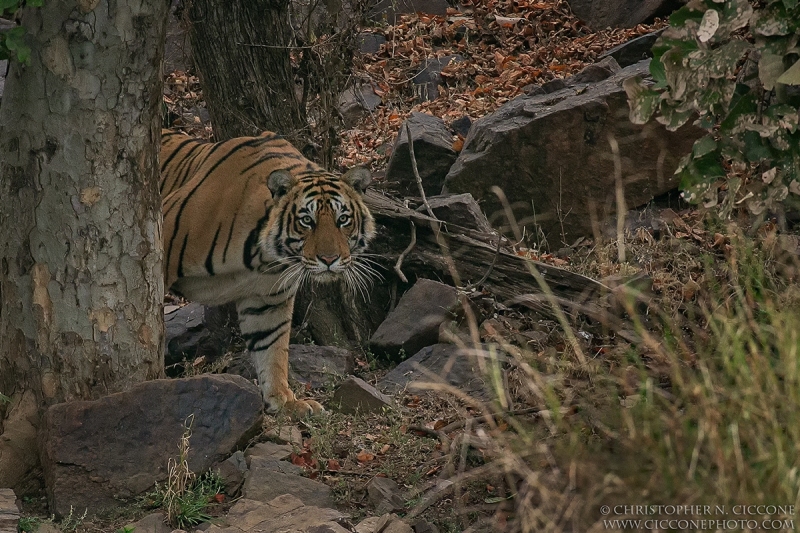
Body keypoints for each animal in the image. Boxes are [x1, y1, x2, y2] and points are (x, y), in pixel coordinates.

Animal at [162, 129, 378, 416]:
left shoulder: (267, 298)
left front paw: (285, 401)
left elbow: (272, 347)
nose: (329, 259)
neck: (264, 256)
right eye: (307, 221)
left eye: (342, 219)